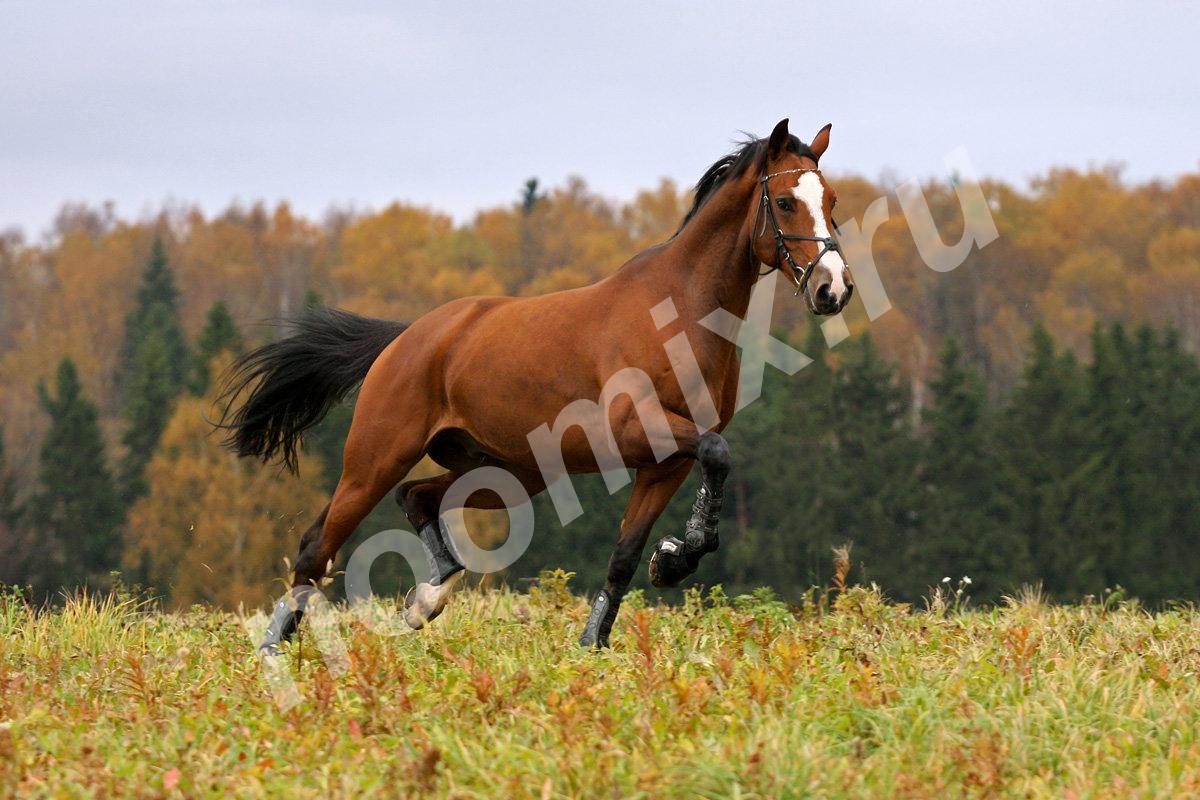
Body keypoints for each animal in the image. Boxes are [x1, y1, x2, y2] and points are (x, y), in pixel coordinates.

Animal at [216, 120, 854, 657]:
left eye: (832, 202)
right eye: (785, 202)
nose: (834, 288)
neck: (681, 312)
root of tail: (407, 337)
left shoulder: (665, 463)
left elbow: (626, 556)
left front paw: (617, 619)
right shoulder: (638, 432)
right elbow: (719, 454)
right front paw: (675, 559)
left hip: (505, 471)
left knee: (416, 497)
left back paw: (425, 602)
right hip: (375, 459)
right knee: (316, 546)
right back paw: (273, 653)